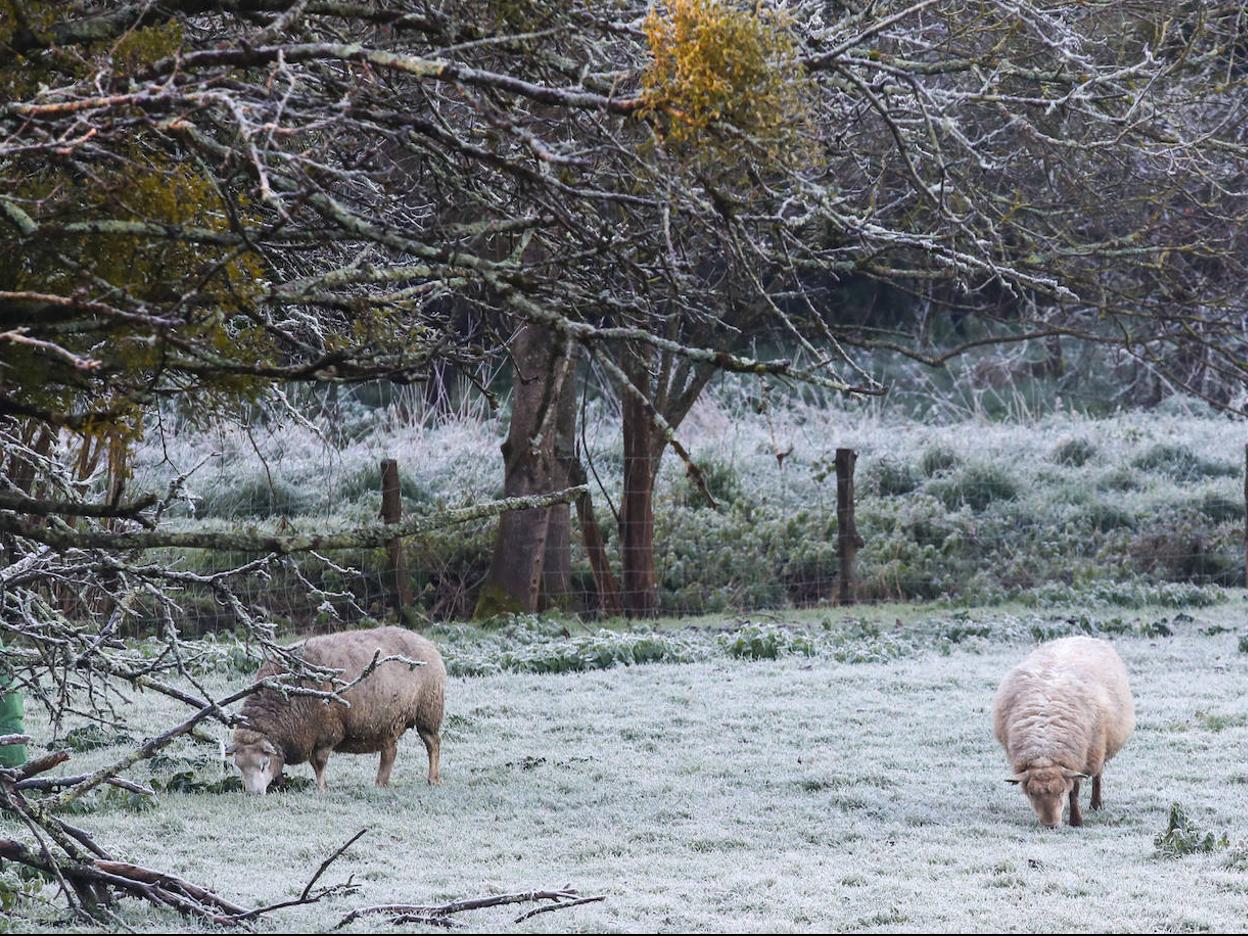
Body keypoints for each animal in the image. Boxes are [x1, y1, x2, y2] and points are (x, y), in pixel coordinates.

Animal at [229, 626, 444, 793]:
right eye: (239, 766)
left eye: (263, 764)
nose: (254, 794)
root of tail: (427, 642)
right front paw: (281, 784)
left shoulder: (326, 731)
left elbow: (319, 763)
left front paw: (322, 789)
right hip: (386, 721)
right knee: (390, 751)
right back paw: (380, 783)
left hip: (428, 711)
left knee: (433, 743)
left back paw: (433, 779)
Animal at [988, 638, 1138, 828]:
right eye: (1031, 794)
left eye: (1060, 792)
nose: (1050, 825)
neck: (1044, 748)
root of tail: (1080, 636)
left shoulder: (1080, 759)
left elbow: (1075, 792)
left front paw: (1076, 820)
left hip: (1098, 748)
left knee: (1097, 776)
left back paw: (1096, 804)